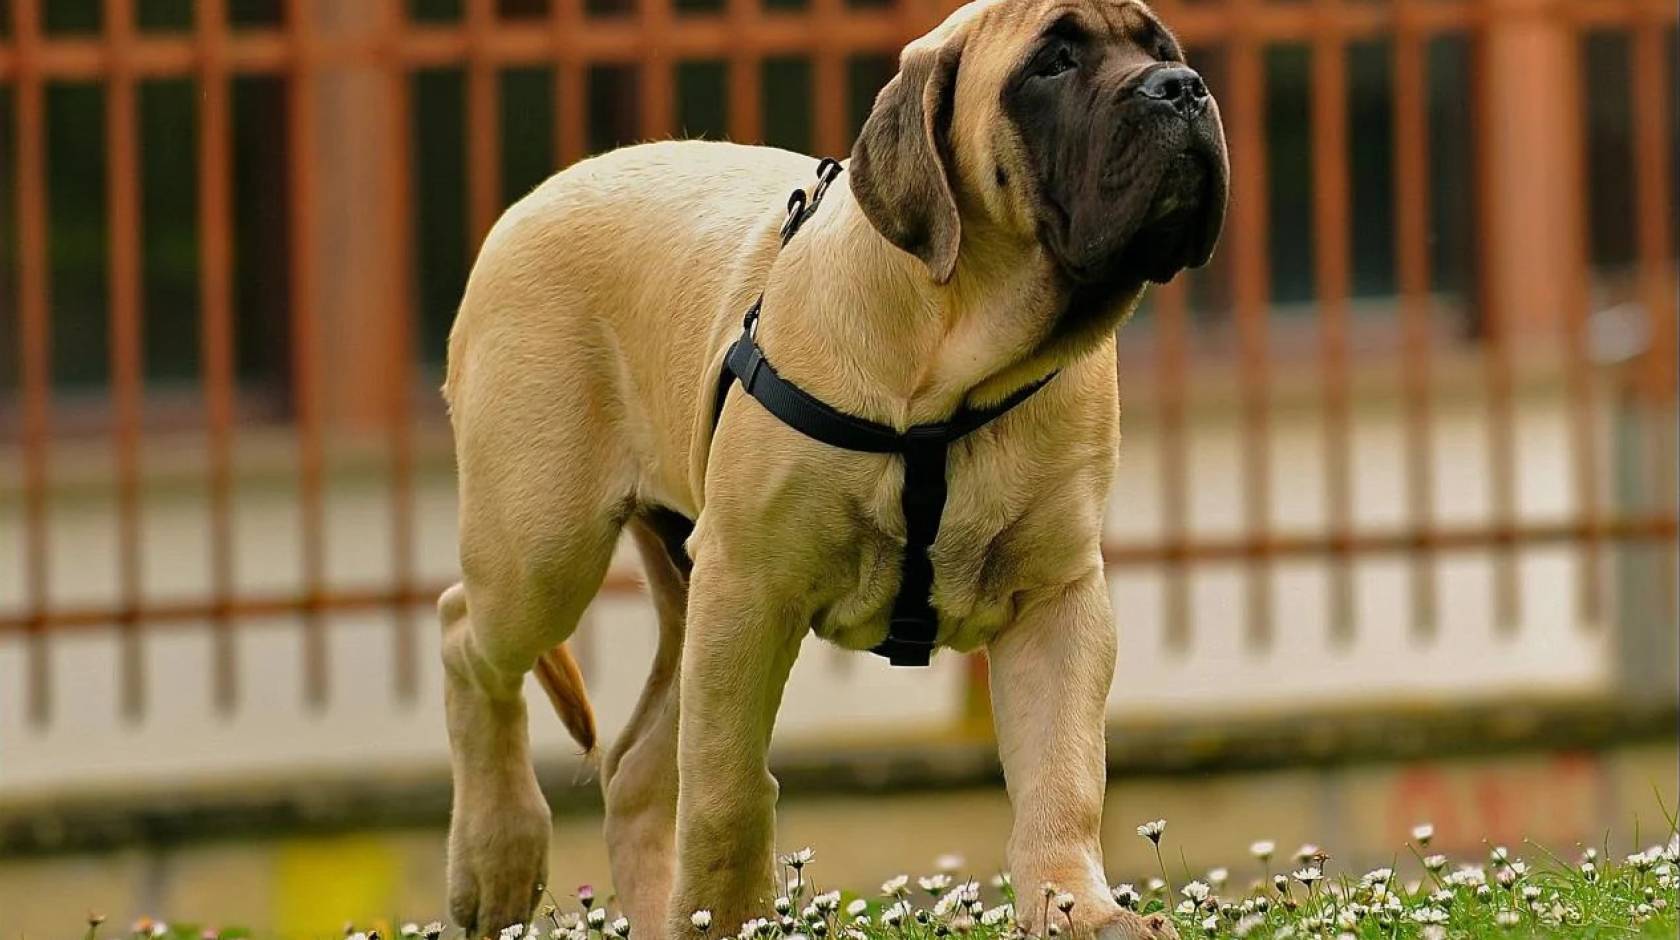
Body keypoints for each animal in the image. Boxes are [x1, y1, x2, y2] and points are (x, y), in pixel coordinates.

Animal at [443, 0, 1236, 933]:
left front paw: (1077, 908)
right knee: (467, 638)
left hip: (675, 581)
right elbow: (726, 791)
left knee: (636, 765)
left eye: (1160, 48)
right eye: (1052, 63)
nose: (1182, 87)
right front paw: (726, 917)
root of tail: (531, 201)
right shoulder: (750, 587)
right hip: (545, 549)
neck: (954, 362)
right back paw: (497, 860)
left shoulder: (1058, 597)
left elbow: (1062, 774)